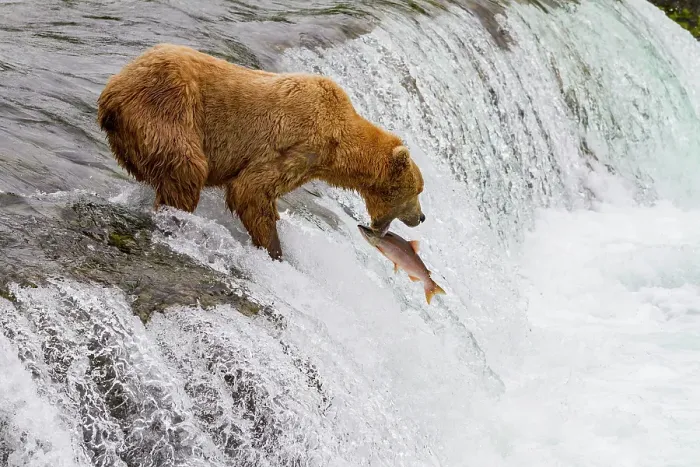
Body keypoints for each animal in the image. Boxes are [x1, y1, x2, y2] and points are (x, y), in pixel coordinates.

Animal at [96, 43, 426, 260]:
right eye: (417, 190)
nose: (421, 217)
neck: (339, 146)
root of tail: (111, 92)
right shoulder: (299, 146)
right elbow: (251, 189)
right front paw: (274, 250)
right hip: (168, 106)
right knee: (187, 168)